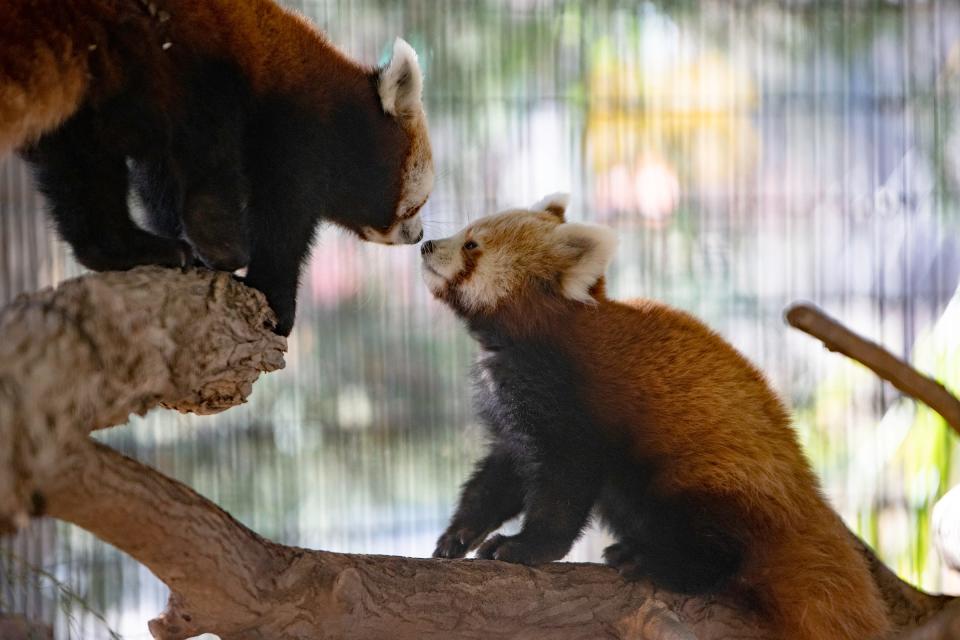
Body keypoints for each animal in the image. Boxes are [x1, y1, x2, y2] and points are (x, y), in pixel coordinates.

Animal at [0, 0, 434, 338]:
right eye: (417, 204)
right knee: (204, 144)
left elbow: (157, 189)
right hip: (169, 54)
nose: (418, 236)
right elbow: (284, 217)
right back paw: (220, 241)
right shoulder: (294, 129)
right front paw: (276, 298)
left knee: (81, 172)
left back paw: (130, 249)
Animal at [428, 195, 892, 640]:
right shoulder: (510, 412)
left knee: (714, 544)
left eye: (471, 245)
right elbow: (499, 477)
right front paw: (458, 535)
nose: (428, 245)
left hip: (705, 477)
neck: (514, 342)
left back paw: (649, 559)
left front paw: (526, 546)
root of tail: (804, 503)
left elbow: (565, 481)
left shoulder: (565, 397)